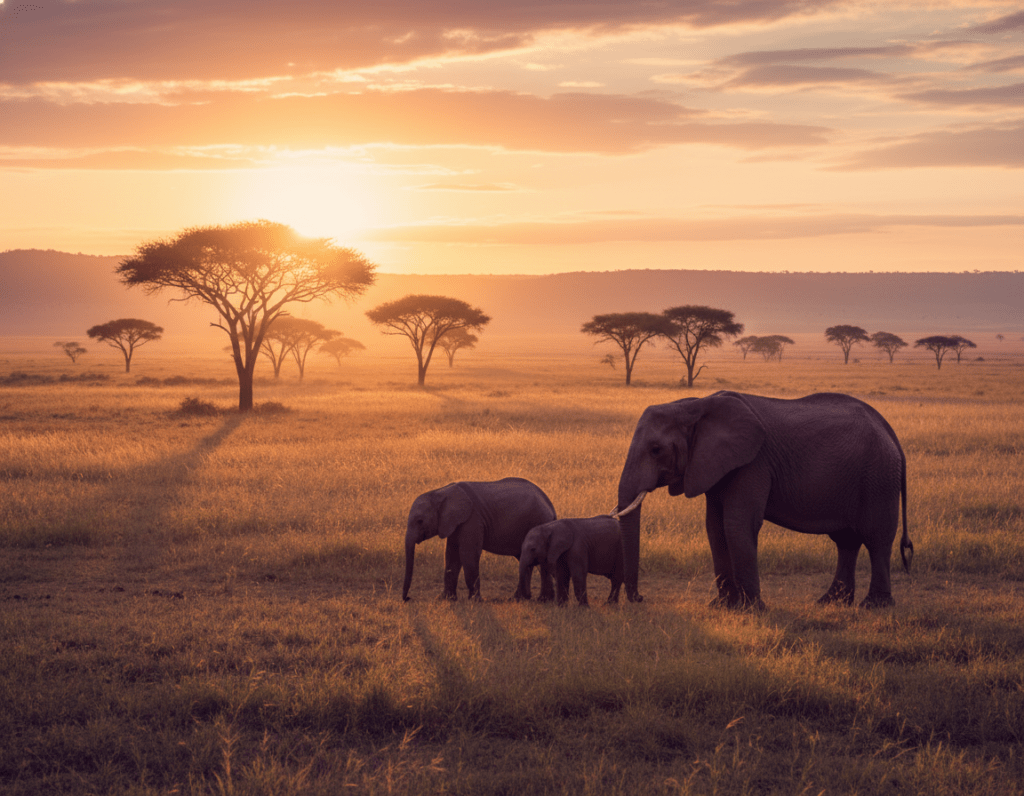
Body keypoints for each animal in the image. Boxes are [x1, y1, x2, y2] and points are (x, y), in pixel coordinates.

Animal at [402, 477, 557, 602]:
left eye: (420, 521)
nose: (408, 598)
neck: (441, 492)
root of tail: (550, 505)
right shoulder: (454, 522)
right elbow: (452, 555)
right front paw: (445, 599)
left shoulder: (472, 519)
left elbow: (468, 554)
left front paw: (474, 601)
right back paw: (524, 599)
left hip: (538, 522)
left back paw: (538, 600)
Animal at [614, 391, 913, 610]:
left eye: (656, 450)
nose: (640, 598)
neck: (695, 405)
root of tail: (889, 430)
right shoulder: (714, 464)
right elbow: (715, 527)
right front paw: (722, 607)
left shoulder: (753, 463)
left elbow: (737, 524)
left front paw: (752, 610)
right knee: (846, 541)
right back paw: (831, 603)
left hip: (878, 477)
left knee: (876, 539)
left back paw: (874, 606)